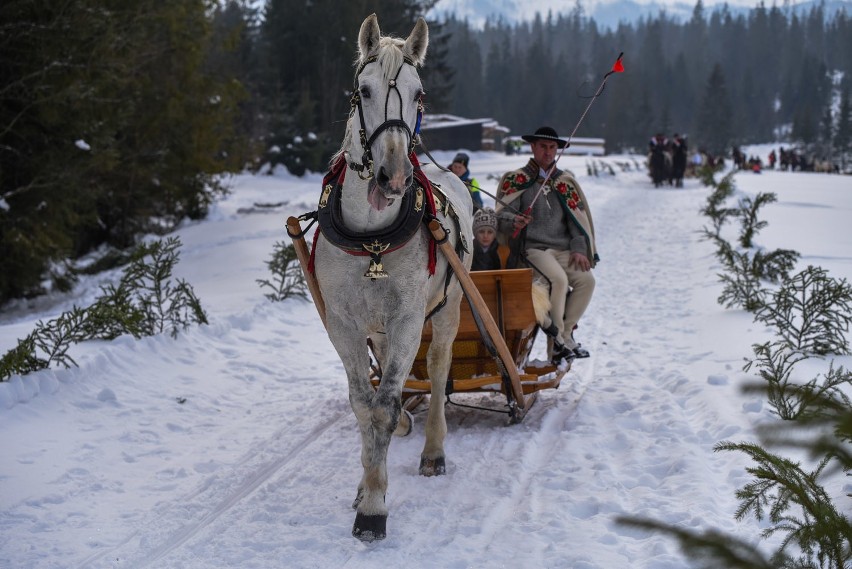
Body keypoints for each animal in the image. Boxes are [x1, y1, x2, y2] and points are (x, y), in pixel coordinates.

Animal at [312, 11, 472, 540]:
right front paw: (365, 487)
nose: (395, 177)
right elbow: (365, 404)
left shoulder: (407, 320)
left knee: (440, 369)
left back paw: (433, 450)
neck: (370, 239)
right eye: (363, 89)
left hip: (448, 307)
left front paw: (374, 509)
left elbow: (384, 405)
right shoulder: (342, 322)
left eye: (419, 93)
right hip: (377, 327)